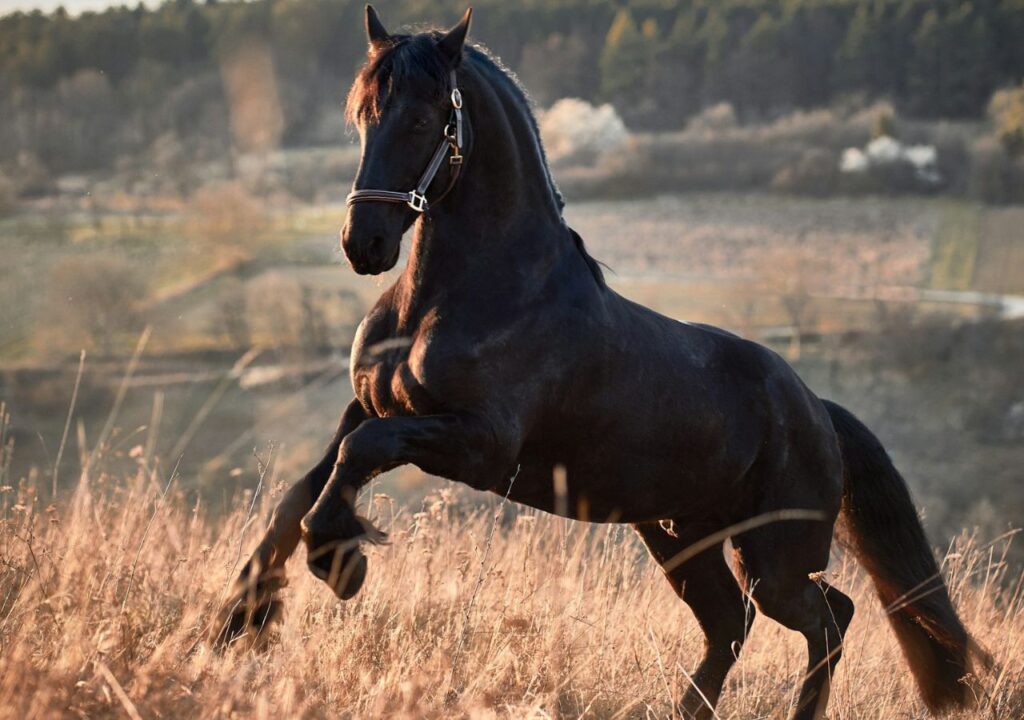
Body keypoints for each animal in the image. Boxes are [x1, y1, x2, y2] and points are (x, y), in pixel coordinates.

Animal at [214, 7, 985, 719]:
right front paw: (236, 622)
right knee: (733, 624)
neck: (467, 294)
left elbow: (352, 466)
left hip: (774, 556)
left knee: (826, 619)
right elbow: (304, 491)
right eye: (363, 116)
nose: (363, 243)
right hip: (681, 539)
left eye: (427, 117)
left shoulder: (478, 445)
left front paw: (340, 563)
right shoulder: (369, 407)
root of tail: (817, 411)